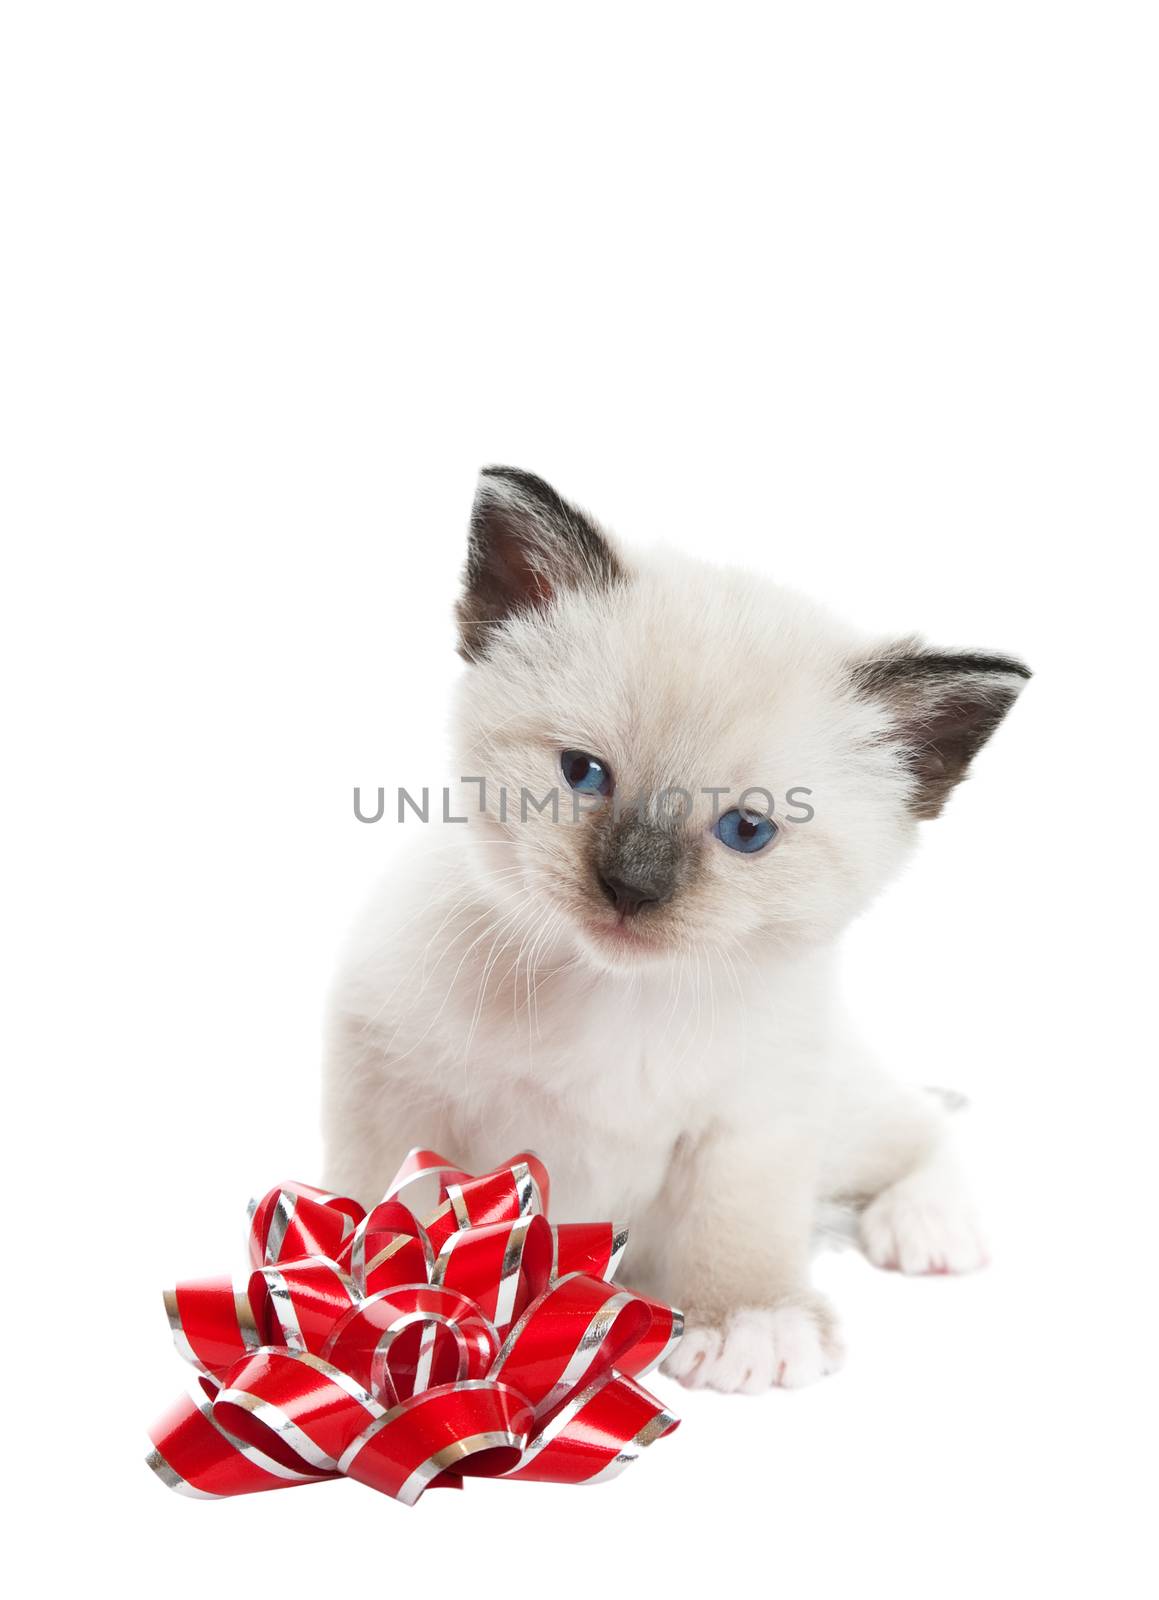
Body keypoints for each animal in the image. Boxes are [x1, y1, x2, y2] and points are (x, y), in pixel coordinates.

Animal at [321, 467, 1024, 1395]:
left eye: (746, 831)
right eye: (582, 773)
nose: (630, 888)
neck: (612, 993)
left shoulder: (752, 1122)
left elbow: (739, 1229)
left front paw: (748, 1323)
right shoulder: (391, 1084)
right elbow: (382, 1210)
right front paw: (368, 1319)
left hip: (839, 1119)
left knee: (921, 1126)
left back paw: (927, 1226)